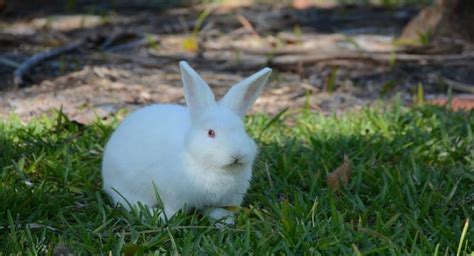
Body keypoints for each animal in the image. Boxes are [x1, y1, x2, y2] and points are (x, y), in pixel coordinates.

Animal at [102, 60, 272, 224]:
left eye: (242, 130)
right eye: (211, 133)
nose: (237, 155)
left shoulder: (225, 201)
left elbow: (220, 213)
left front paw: (225, 224)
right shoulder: (175, 197)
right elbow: (173, 211)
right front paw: (164, 218)